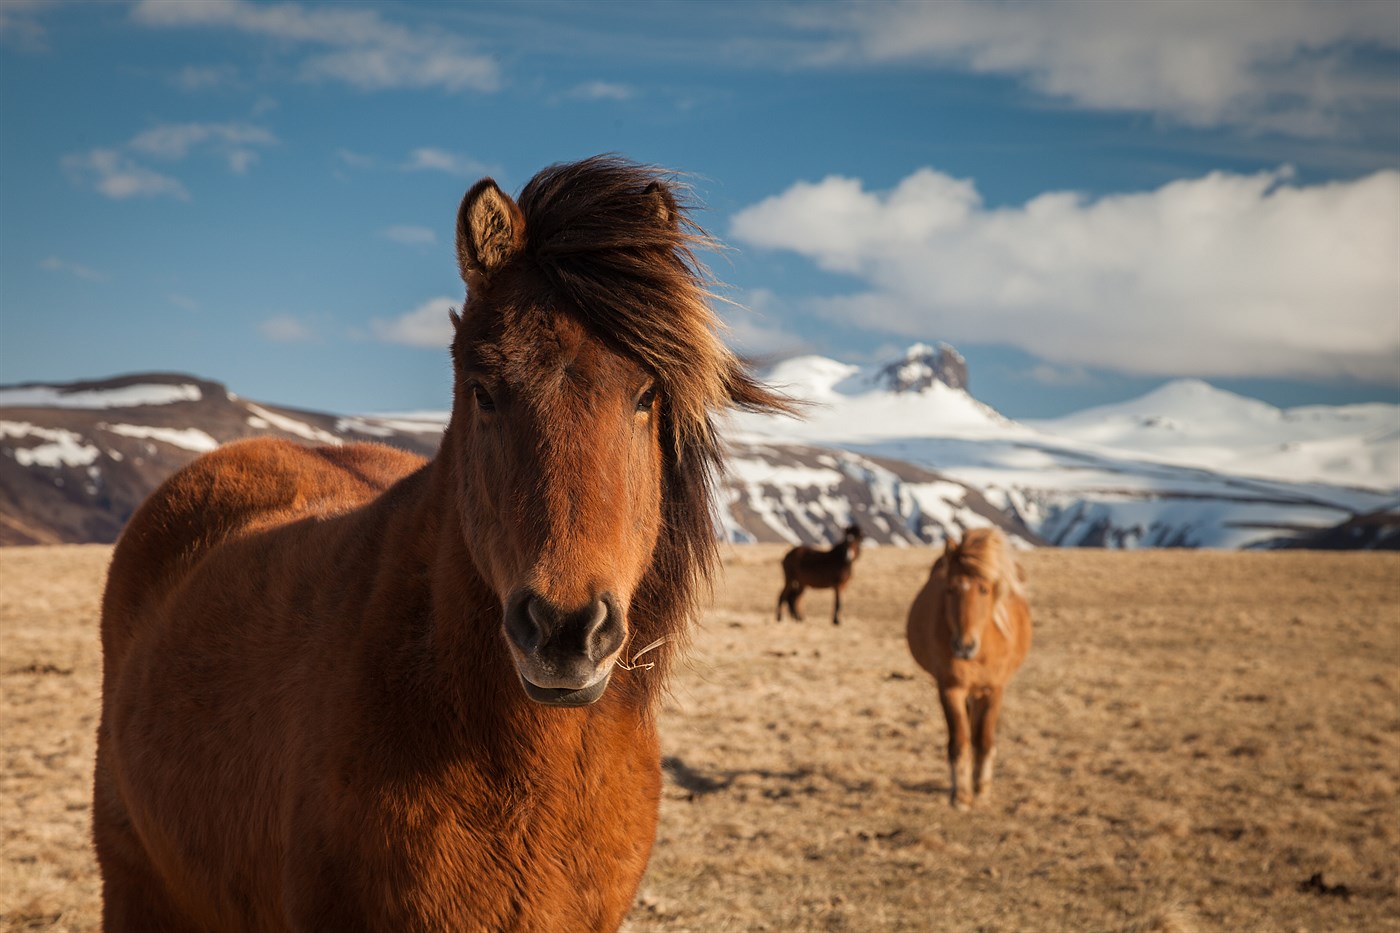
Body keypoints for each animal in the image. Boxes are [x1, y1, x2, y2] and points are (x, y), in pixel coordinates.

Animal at [901, 529, 1036, 806]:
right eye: (950, 589)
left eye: (984, 589)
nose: (963, 646)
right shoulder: (950, 689)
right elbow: (960, 741)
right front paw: (961, 795)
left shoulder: (994, 690)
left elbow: (983, 739)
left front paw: (981, 788)